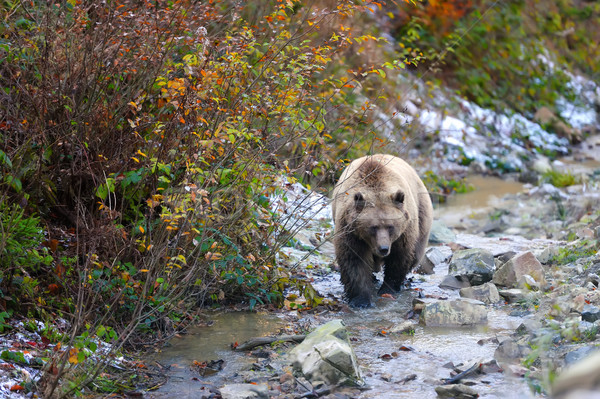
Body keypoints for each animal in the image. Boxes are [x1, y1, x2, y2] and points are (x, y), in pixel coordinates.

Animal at [332, 155, 432, 308]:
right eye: (373, 227)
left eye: (391, 226)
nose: (383, 248)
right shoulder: (350, 230)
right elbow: (354, 260)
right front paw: (360, 300)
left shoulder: (403, 233)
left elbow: (399, 257)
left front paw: (388, 288)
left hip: (421, 211)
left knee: (416, 252)